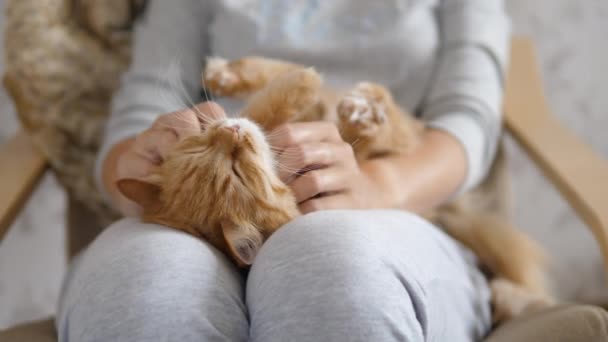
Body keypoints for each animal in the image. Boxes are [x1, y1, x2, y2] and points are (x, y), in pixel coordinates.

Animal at [116, 56, 552, 324]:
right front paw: (305, 84)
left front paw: (231, 77)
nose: (230, 130)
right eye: (236, 173)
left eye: (199, 145)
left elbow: (270, 87)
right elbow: (284, 98)